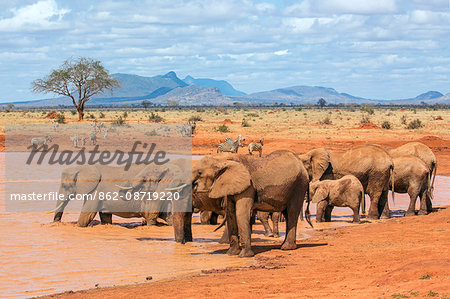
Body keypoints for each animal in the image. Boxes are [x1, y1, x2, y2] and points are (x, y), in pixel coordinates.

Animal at [52, 161, 188, 229]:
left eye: (65, 186)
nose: (56, 223)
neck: (82, 167)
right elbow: (105, 217)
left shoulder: (96, 191)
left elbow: (87, 215)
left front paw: (78, 227)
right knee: (167, 216)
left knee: (153, 216)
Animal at [174, 151, 312, 258]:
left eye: (200, 173)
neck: (223, 160)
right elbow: (231, 213)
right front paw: (231, 254)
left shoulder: (248, 186)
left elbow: (241, 213)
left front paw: (245, 256)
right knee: (287, 214)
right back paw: (285, 246)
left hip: (299, 185)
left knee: (292, 212)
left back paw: (287, 248)